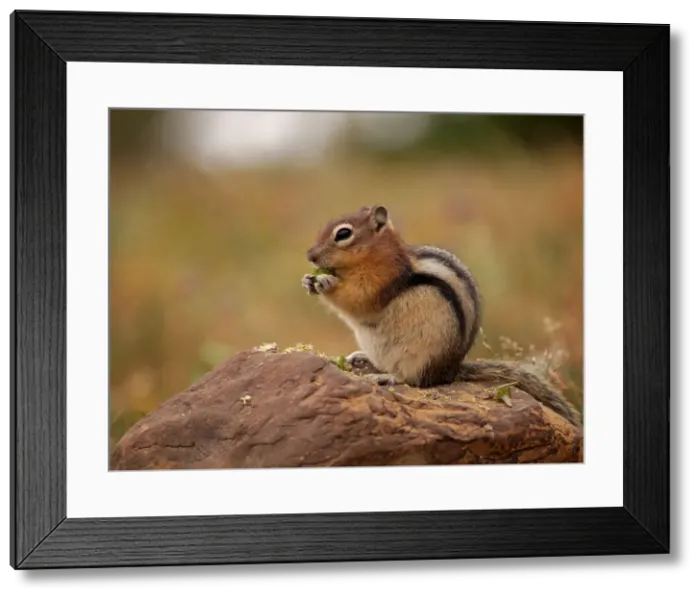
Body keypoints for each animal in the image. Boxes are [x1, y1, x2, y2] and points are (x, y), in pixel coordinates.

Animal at [301, 205, 582, 429]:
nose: (310, 256)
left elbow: (358, 300)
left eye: (343, 234)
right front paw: (308, 280)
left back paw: (385, 376)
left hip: (421, 357)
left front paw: (325, 282)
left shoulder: (380, 282)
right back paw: (362, 359)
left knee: (412, 380)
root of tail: (449, 372)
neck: (375, 255)